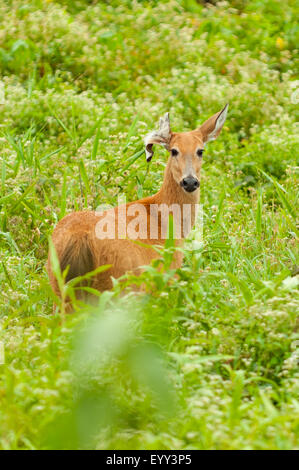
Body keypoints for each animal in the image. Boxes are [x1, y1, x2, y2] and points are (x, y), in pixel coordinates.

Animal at [47, 103, 230, 308]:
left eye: (200, 151)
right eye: (174, 150)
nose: (189, 181)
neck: (164, 216)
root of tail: (79, 238)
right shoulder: (167, 275)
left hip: (61, 289)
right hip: (120, 287)